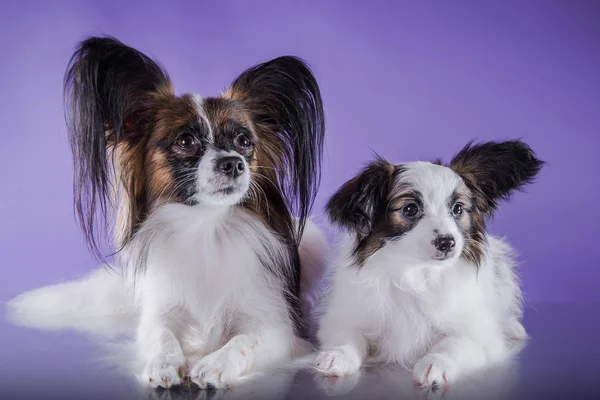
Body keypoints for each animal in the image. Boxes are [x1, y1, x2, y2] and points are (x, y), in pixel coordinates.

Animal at [7, 36, 330, 390]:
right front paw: (164, 363)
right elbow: (160, 335)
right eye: (185, 141)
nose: (233, 163)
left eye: (244, 140)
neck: (205, 227)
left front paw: (216, 364)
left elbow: (244, 341)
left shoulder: (277, 329)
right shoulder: (160, 311)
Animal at [314, 140, 544, 388]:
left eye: (458, 209)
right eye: (410, 209)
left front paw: (437, 363)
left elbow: (455, 344)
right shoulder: (346, 319)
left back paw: (511, 326)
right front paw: (337, 354)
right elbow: (349, 337)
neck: (417, 273)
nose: (447, 242)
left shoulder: (478, 338)